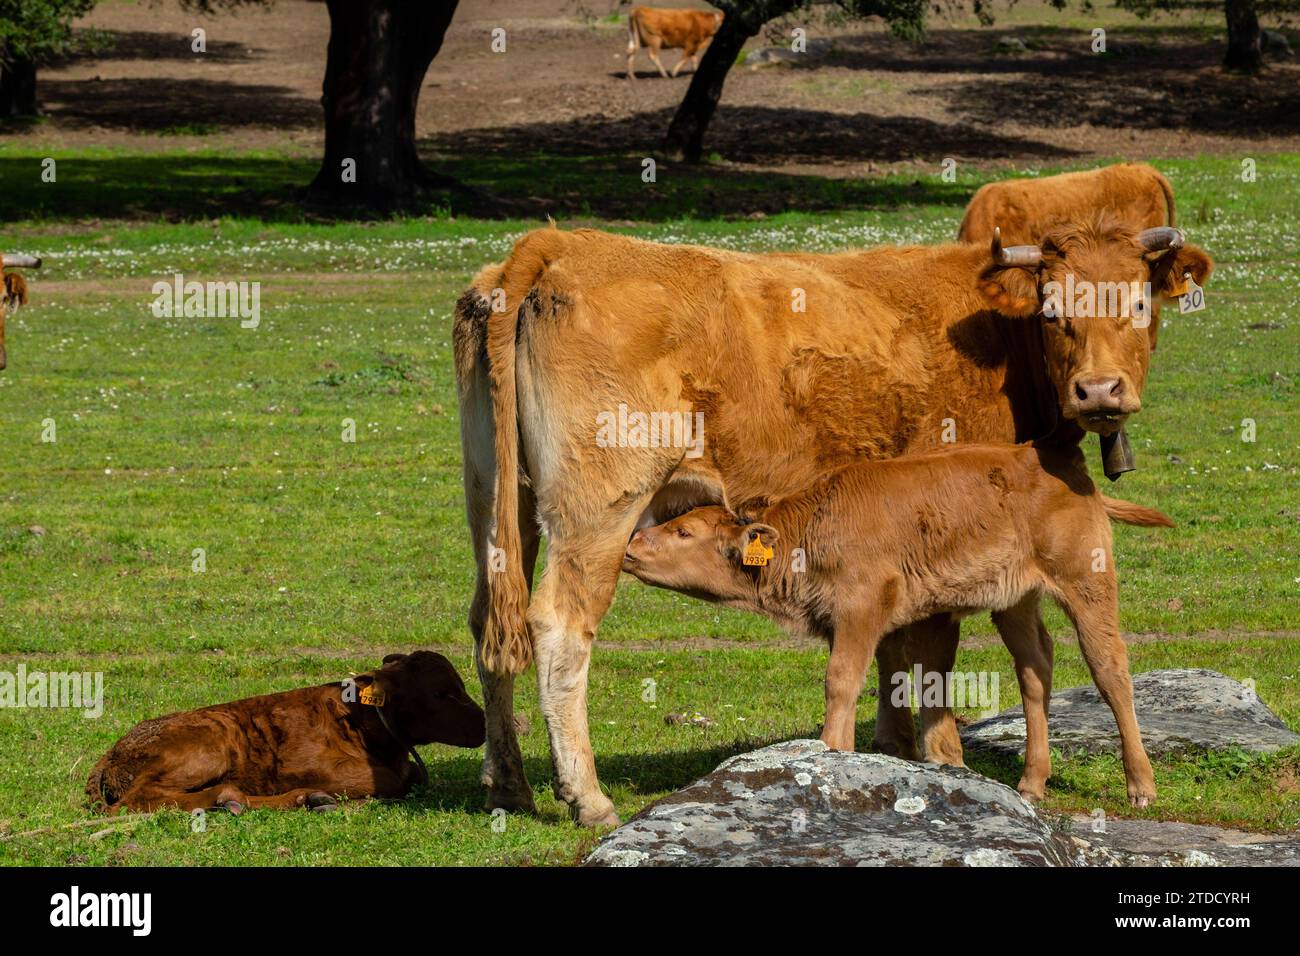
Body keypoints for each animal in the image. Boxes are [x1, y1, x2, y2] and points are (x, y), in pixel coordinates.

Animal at [86, 650, 486, 816]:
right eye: (440, 693)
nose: (484, 722)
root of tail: (112, 752)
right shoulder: (304, 767)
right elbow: (391, 783)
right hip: (209, 745)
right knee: (133, 800)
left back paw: (301, 800)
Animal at [624, 442, 1175, 806]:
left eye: (684, 531)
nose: (629, 546)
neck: (810, 529)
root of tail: (1062, 466)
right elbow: (894, 680)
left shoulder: (861, 607)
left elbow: (842, 680)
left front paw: (830, 754)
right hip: (1016, 600)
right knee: (1034, 668)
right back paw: (1032, 782)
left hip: (1087, 585)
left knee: (1109, 668)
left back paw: (1140, 786)